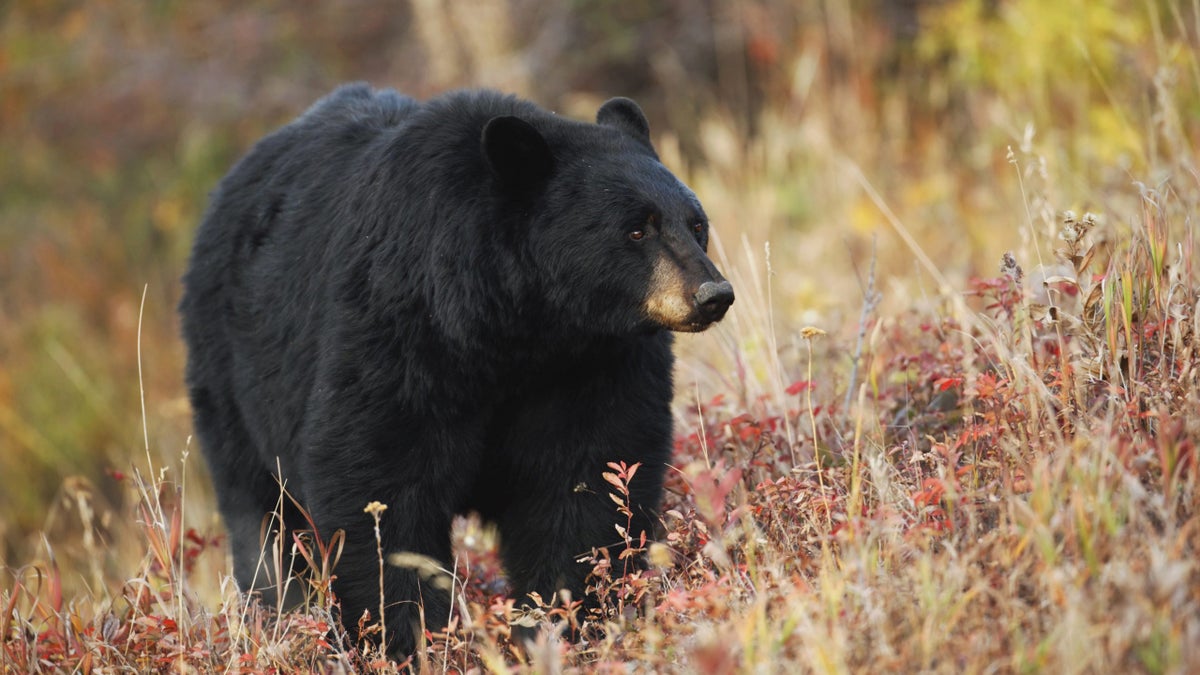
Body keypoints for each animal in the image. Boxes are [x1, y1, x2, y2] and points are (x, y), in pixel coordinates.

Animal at [179, 83, 733, 655]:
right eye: (636, 230)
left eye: (696, 224)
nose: (713, 294)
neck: (519, 328)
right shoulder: (400, 332)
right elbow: (376, 479)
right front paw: (405, 636)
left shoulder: (593, 363)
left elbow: (589, 478)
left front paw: (563, 622)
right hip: (233, 371)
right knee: (262, 514)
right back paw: (279, 611)